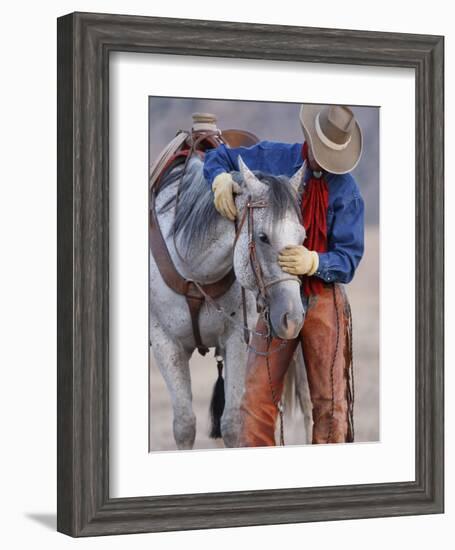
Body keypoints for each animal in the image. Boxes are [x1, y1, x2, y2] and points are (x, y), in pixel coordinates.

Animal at [151, 153, 312, 450]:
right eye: (263, 237)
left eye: (303, 237)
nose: (293, 319)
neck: (194, 271)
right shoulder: (165, 343)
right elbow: (184, 425)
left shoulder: (237, 339)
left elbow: (232, 424)